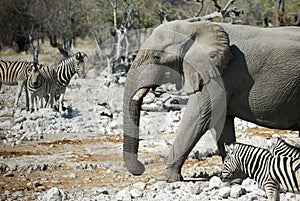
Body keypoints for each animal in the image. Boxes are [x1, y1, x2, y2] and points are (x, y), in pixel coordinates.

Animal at [122, 20, 300, 182]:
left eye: (157, 57)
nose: (141, 167)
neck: (194, 26)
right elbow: (220, 122)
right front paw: (235, 179)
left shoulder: (219, 74)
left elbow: (199, 116)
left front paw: (164, 179)